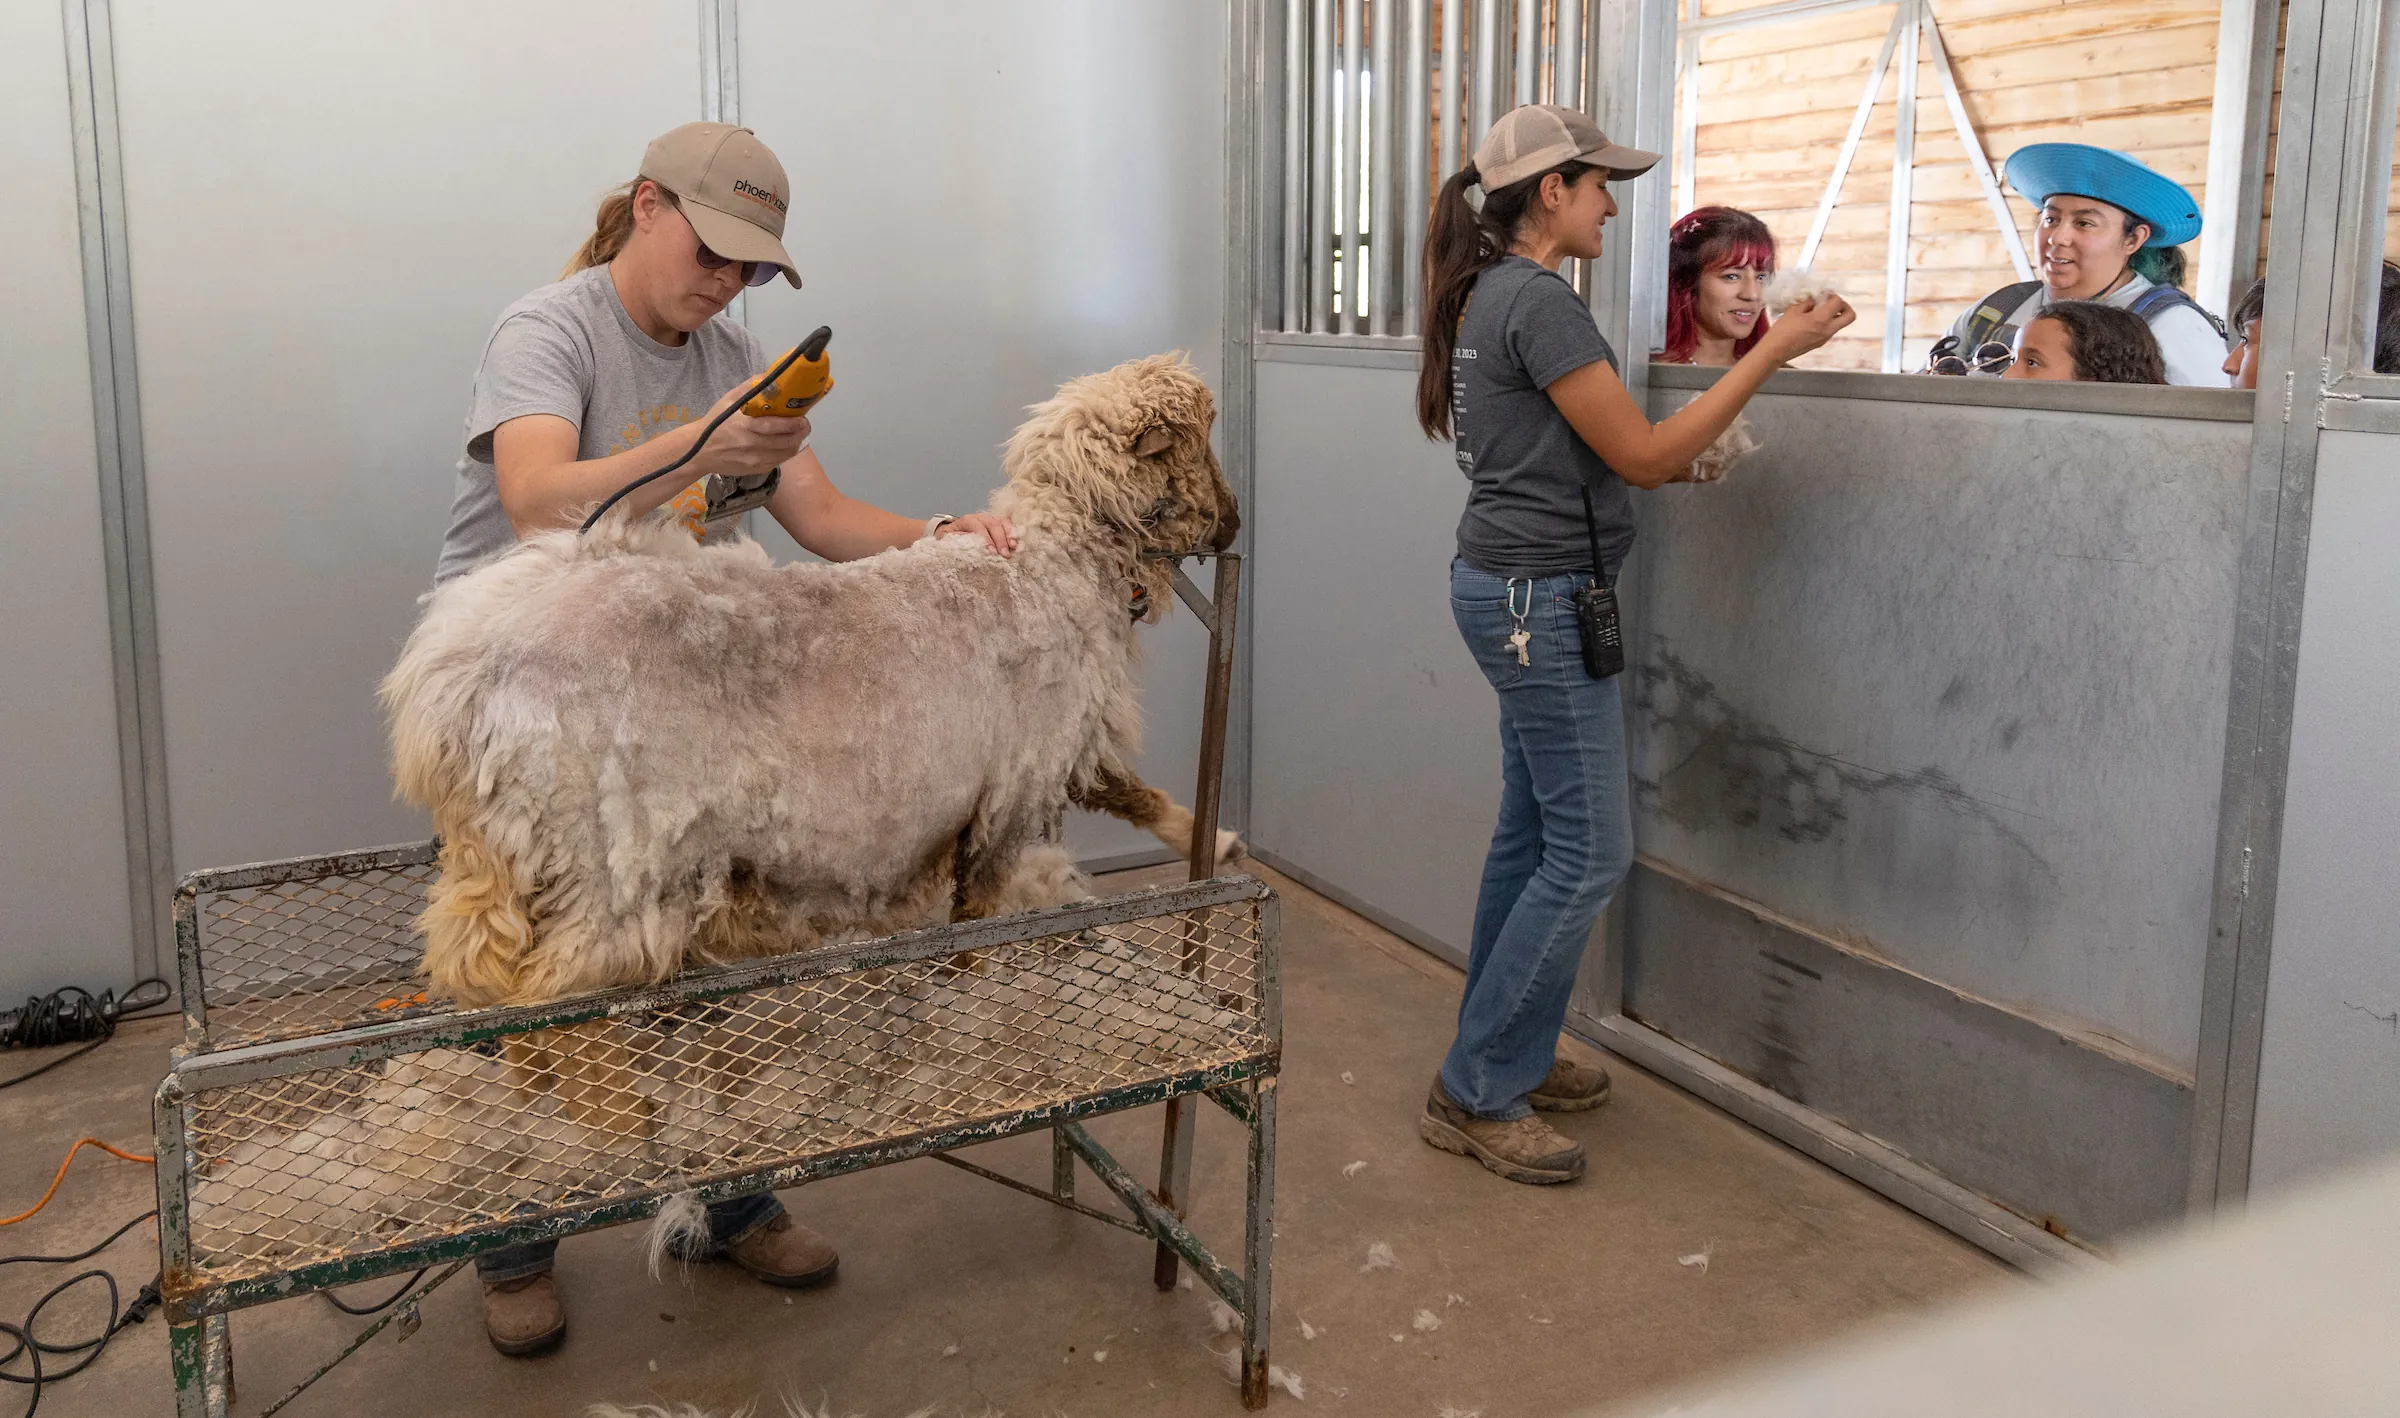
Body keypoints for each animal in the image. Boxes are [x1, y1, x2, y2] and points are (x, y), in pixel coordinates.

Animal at [379, 359, 1238, 1017]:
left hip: (517, 865)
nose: (1234, 526)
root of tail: (449, 675)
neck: (1057, 563)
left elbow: (1129, 788)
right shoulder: (1017, 787)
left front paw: (1214, 837)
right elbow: (981, 924)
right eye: (1200, 442)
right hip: (604, 865)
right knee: (556, 1007)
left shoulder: (1053, 755)